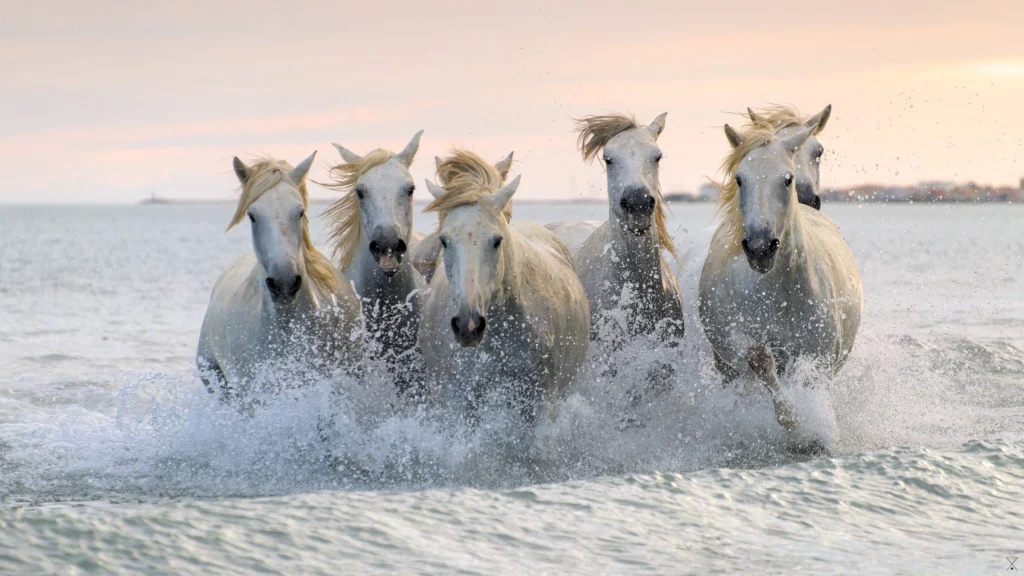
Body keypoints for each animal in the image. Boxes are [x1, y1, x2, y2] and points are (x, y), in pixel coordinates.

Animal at [698, 119, 862, 432]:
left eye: (786, 179)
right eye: (740, 179)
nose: (760, 248)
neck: (780, 293)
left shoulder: (818, 359)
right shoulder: (737, 341)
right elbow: (759, 358)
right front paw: (791, 419)